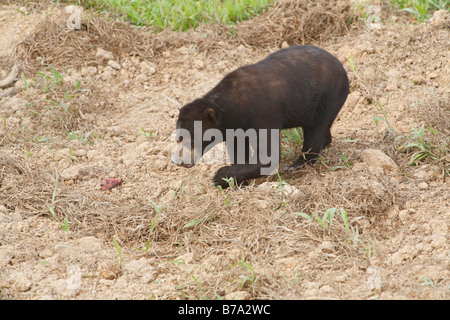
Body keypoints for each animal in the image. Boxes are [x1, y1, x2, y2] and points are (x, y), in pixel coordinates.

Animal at [171, 46, 350, 189]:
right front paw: (237, 181)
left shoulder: (263, 112)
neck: (233, 106)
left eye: (188, 140)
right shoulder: (235, 126)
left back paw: (296, 164)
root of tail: (340, 65)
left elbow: (268, 154)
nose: (175, 161)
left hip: (328, 96)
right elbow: (238, 148)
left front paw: (221, 175)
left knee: (316, 130)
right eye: (177, 138)